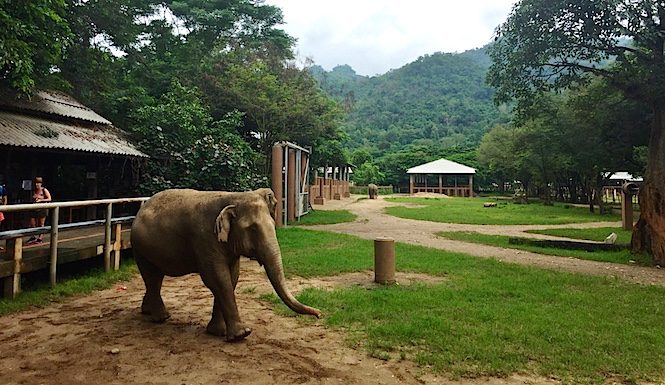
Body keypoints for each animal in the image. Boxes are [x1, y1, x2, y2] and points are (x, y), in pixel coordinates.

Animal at [131, 188, 320, 340]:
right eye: (252, 229)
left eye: (274, 225)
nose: (319, 313)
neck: (233, 197)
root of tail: (140, 210)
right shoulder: (205, 238)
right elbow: (217, 278)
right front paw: (242, 335)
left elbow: (232, 277)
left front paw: (218, 332)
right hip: (140, 248)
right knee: (152, 277)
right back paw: (162, 318)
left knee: (155, 278)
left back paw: (146, 311)